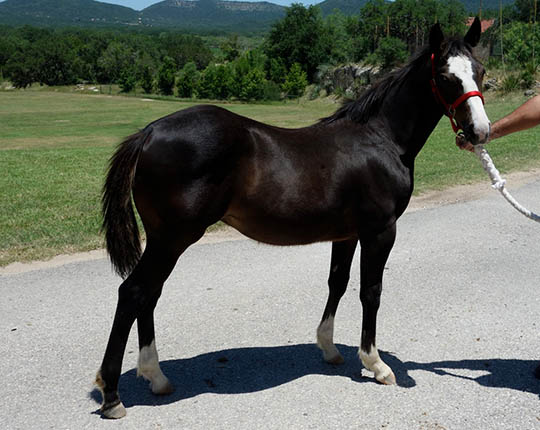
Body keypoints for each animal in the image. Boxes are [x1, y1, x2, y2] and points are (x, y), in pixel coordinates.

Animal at [95, 19, 492, 416]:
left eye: (480, 71)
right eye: (445, 76)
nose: (480, 131)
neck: (381, 138)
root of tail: (149, 132)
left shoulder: (347, 234)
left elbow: (337, 282)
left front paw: (329, 348)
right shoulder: (380, 231)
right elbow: (371, 291)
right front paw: (376, 364)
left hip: (164, 239)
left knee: (149, 294)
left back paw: (155, 377)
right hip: (173, 238)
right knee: (133, 292)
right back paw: (113, 394)